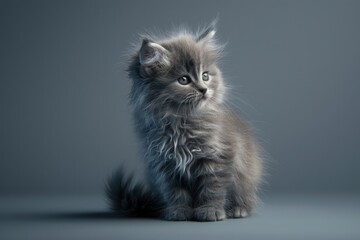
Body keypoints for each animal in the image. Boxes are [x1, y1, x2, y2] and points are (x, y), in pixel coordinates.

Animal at [106, 22, 262, 221]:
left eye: (205, 76)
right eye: (184, 80)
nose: (204, 89)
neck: (180, 122)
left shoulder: (218, 157)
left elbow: (213, 188)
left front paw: (210, 210)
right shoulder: (165, 164)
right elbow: (175, 192)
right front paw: (179, 211)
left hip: (247, 176)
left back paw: (239, 209)